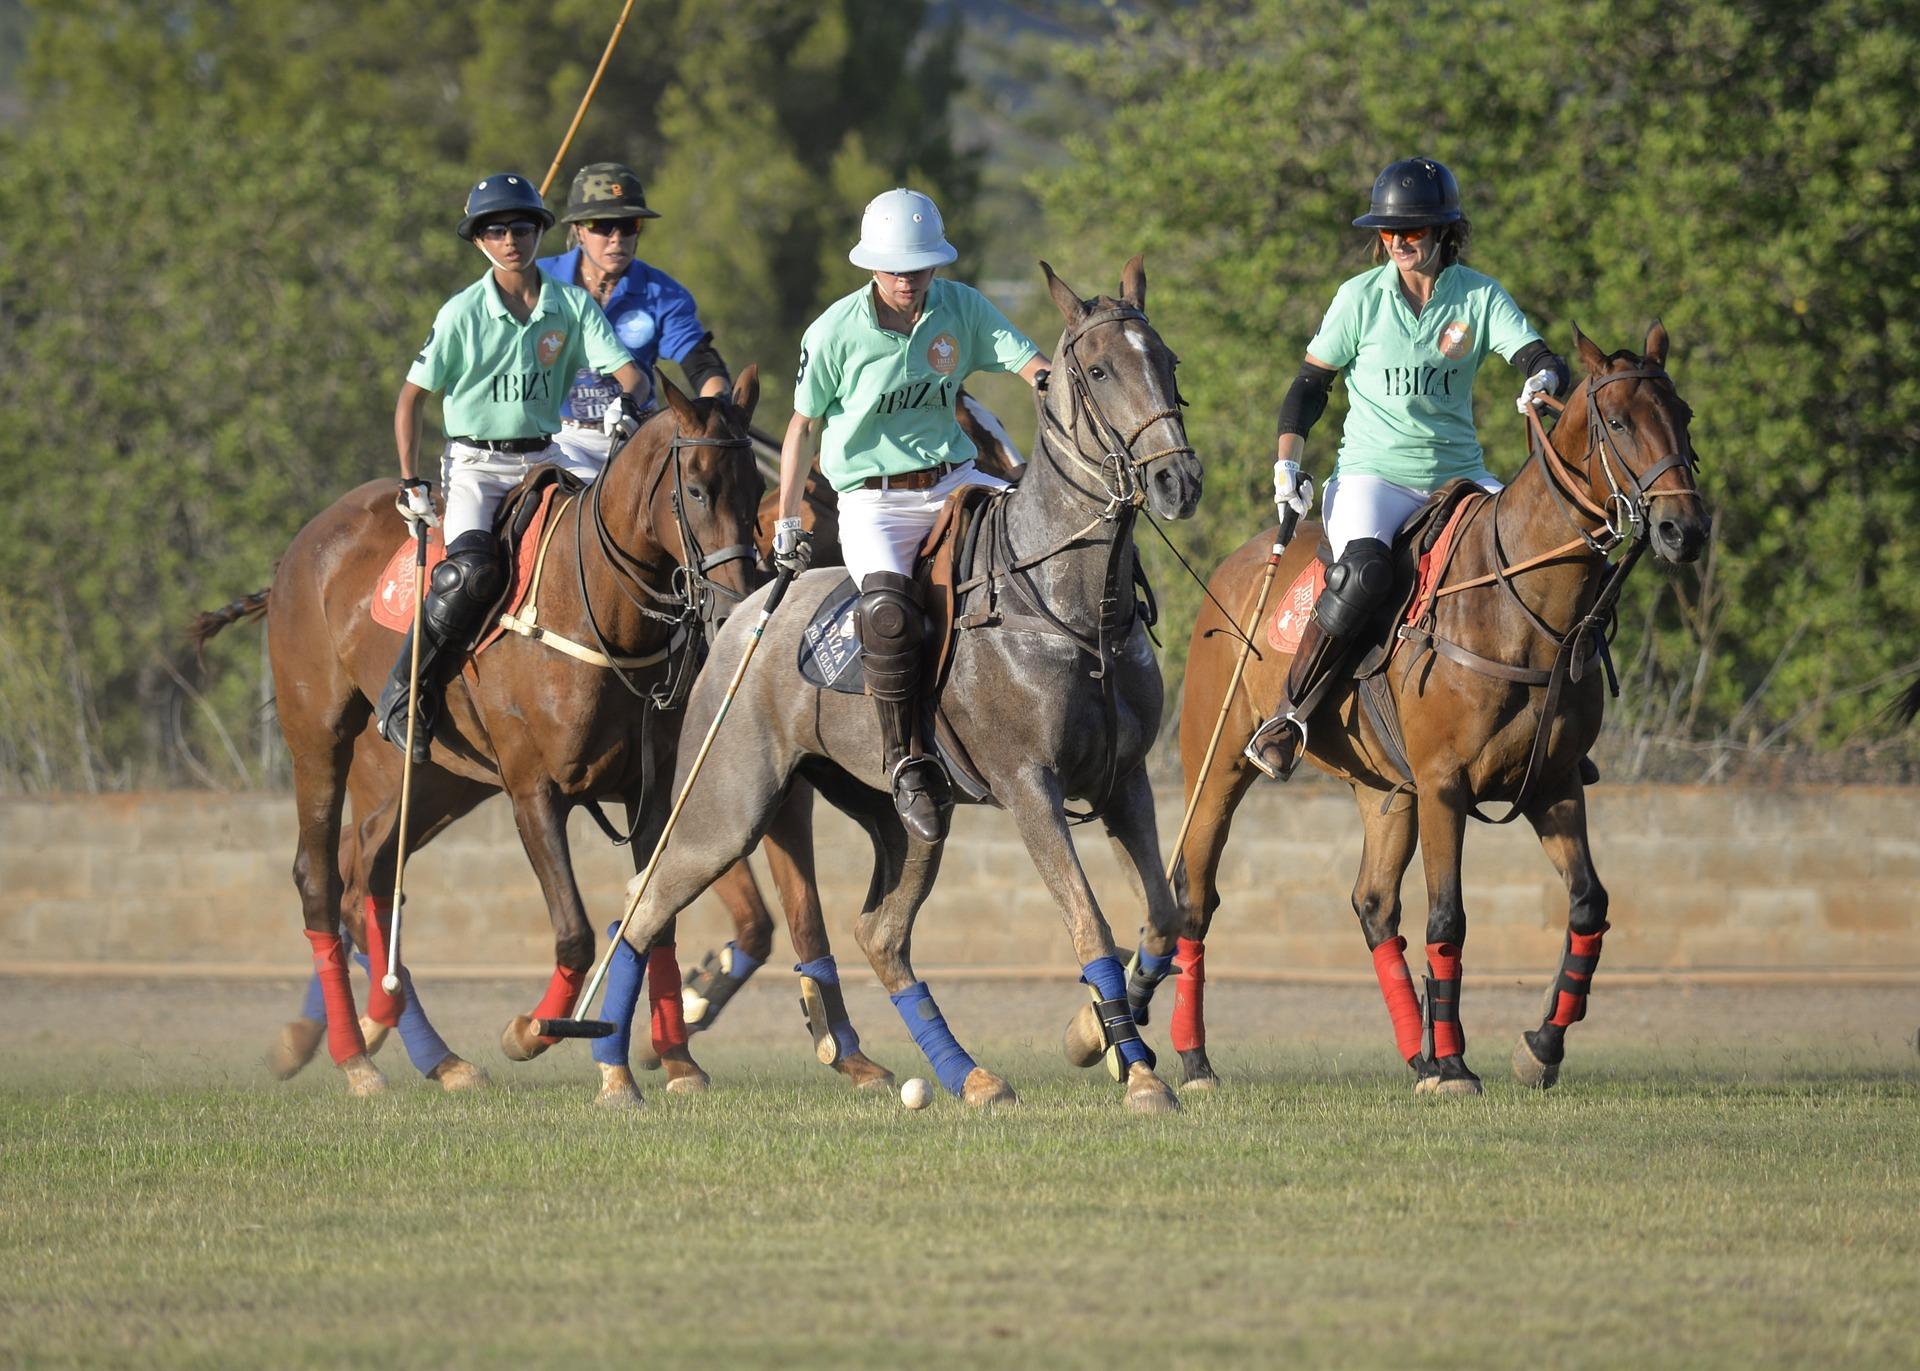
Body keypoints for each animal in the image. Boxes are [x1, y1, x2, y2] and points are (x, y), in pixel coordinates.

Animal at [190, 371, 891, 1102]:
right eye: (697, 489)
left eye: (755, 492)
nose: (739, 611)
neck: (599, 611)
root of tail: (299, 547)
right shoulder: (535, 790)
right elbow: (581, 931)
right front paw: (535, 1032)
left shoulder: (650, 792)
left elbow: (661, 919)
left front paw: (679, 1060)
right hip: (320, 734)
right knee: (320, 877)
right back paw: (355, 1056)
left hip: (441, 777)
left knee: (372, 875)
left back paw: (433, 1054)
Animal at [589, 255, 1204, 1112]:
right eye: (1099, 370)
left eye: (1169, 362)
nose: (1179, 480)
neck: (1072, 603)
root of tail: (745, 609)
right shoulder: (1029, 784)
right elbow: (1092, 922)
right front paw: (1139, 1070)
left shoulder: (1125, 780)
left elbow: (1161, 915)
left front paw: (1092, 1036)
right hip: (727, 803)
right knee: (643, 906)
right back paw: (616, 1073)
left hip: (907, 819)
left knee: (880, 934)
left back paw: (967, 1073)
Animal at [1133, 323, 1708, 1095]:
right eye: (1618, 423)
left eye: (1684, 416)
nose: (1686, 529)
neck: (1523, 607)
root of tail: (1240, 563)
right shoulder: (1444, 783)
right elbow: (1449, 919)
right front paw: (1460, 1063)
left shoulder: (1553, 783)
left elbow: (1590, 901)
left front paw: (1538, 1046)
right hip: (1219, 757)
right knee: (1195, 892)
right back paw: (1195, 1059)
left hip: (1385, 790)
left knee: (1375, 904)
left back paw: (1418, 1053)